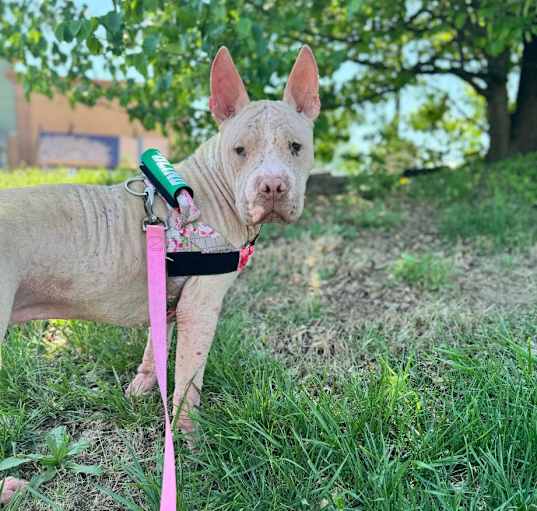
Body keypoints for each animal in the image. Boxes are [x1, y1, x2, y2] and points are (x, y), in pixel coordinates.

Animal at [0, 47, 318, 504]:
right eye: (240, 150)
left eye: (296, 147)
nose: (272, 187)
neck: (206, 193)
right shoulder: (200, 309)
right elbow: (188, 382)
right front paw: (191, 442)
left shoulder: (166, 298)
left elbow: (155, 349)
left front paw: (141, 390)